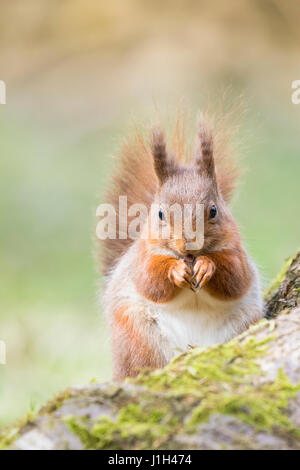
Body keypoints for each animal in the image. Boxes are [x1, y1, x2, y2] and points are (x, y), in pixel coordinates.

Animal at [98, 114, 262, 382]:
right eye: (160, 214)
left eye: (213, 210)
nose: (189, 244)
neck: (189, 258)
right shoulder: (143, 256)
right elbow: (150, 280)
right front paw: (175, 271)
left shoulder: (237, 252)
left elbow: (236, 278)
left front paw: (207, 266)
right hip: (138, 336)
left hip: (243, 324)